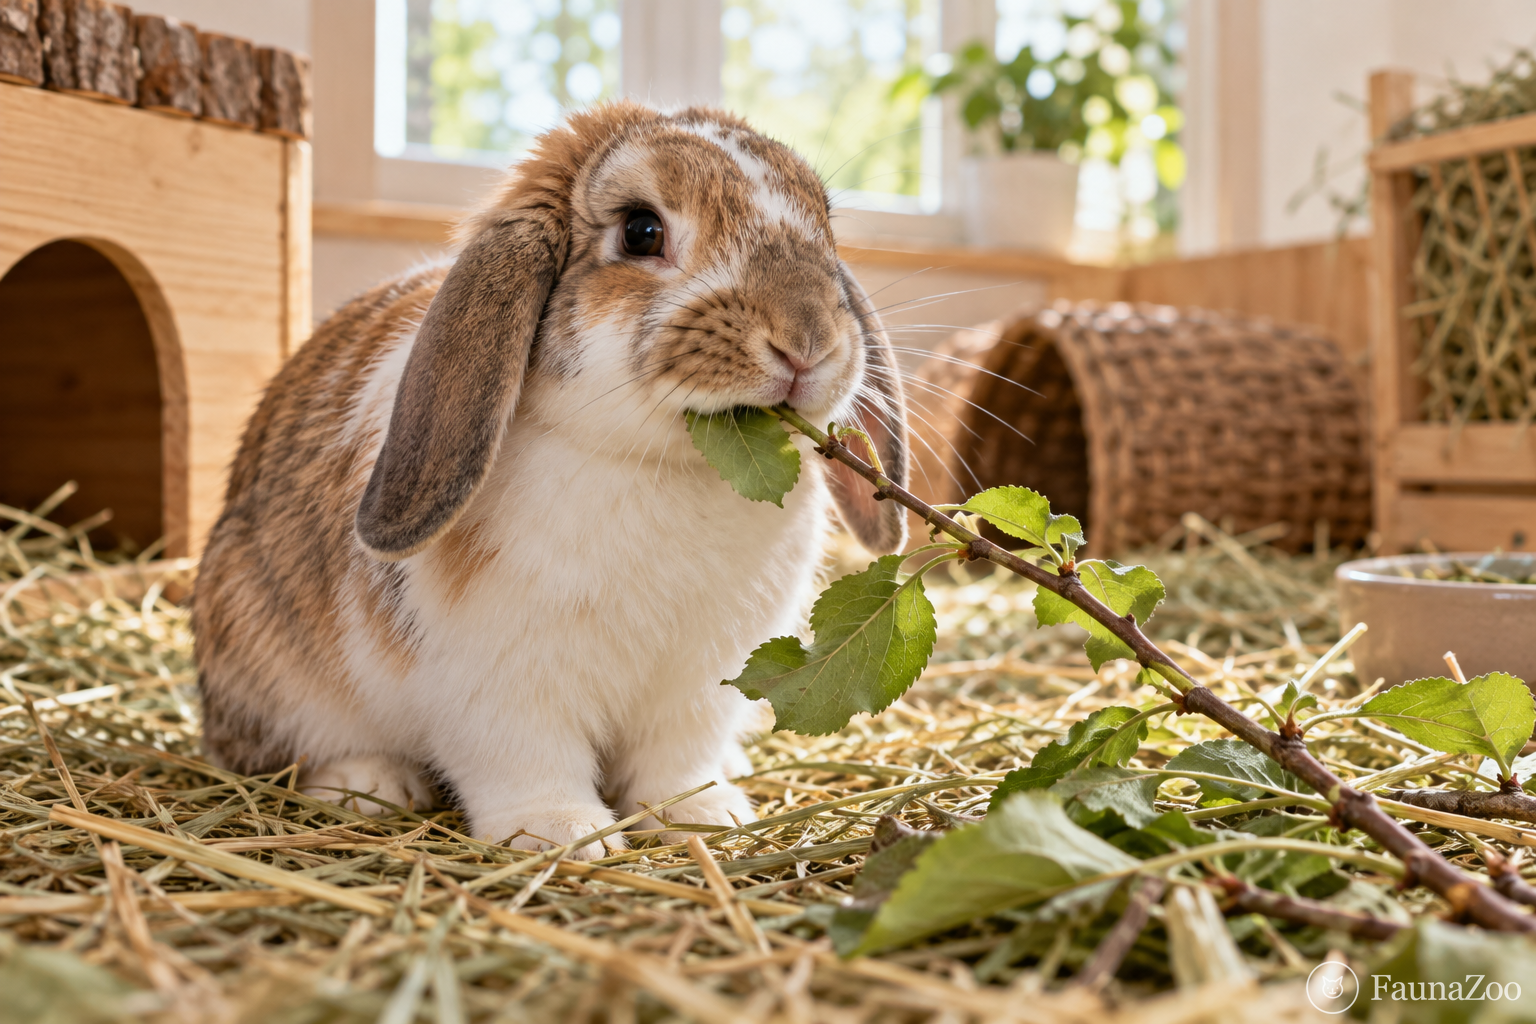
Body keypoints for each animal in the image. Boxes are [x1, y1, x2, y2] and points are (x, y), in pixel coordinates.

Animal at [192, 100, 909, 859]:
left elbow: (675, 762)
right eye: (642, 230)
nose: (807, 341)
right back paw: (369, 785)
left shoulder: (699, 684)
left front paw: (704, 815)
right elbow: (529, 762)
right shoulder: (500, 686)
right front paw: (562, 833)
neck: (663, 465)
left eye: (825, 229)